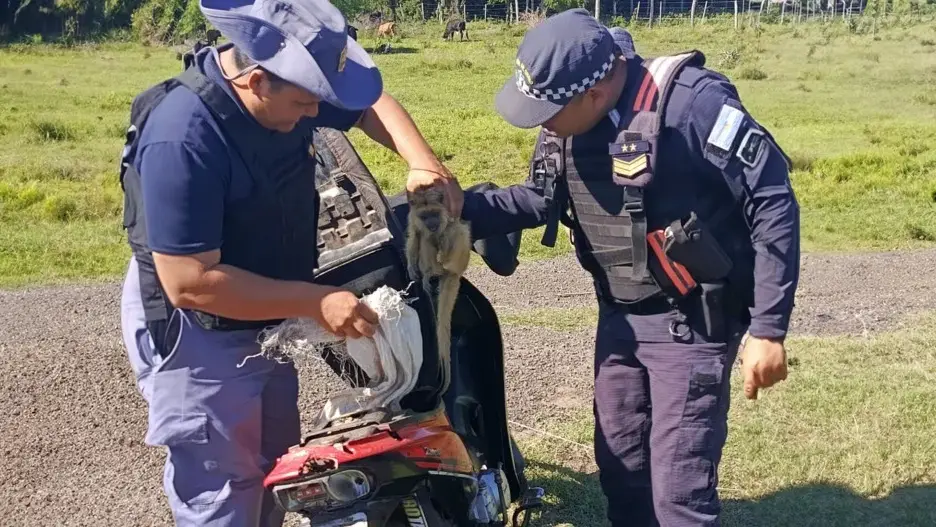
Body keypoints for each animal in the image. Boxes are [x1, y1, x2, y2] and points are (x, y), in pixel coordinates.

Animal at [406, 184, 472, 394]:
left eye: (434, 213)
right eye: (425, 216)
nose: (432, 223)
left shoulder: (451, 211)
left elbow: (455, 227)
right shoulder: (413, 218)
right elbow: (414, 237)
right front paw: (411, 267)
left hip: (459, 261)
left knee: (457, 231)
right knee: (425, 239)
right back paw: (431, 273)